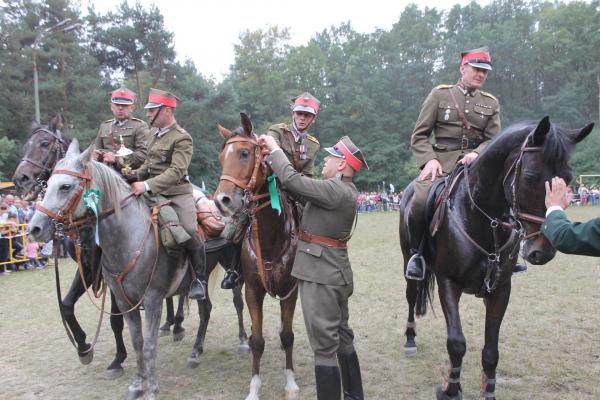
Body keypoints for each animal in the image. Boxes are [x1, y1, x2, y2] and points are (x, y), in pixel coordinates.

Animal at [214, 112, 300, 400]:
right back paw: (245, 340)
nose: (222, 201)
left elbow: (288, 336)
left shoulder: (290, 290)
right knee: (239, 307)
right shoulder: (253, 289)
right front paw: (254, 388)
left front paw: (290, 383)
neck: (272, 235)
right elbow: (259, 340)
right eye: (222, 157)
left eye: (244, 153)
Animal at [400, 116, 592, 400]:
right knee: (412, 296)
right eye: (530, 177)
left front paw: (487, 391)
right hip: (410, 263)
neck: (480, 216)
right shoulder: (449, 283)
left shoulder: (501, 289)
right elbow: (456, 343)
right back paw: (410, 338)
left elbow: (491, 351)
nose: (543, 250)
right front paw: (450, 388)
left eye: (567, 178)